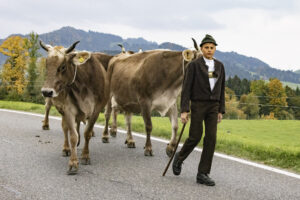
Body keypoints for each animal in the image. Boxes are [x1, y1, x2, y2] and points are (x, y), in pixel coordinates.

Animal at [40, 41, 112, 174]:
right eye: (47, 64)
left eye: (63, 66)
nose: (46, 92)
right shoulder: (68, 109)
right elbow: (72, 135)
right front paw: (73, 163)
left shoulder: (96, 109)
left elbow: (87, 132)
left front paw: (85, 156)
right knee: (65, 127)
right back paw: (66, 148)